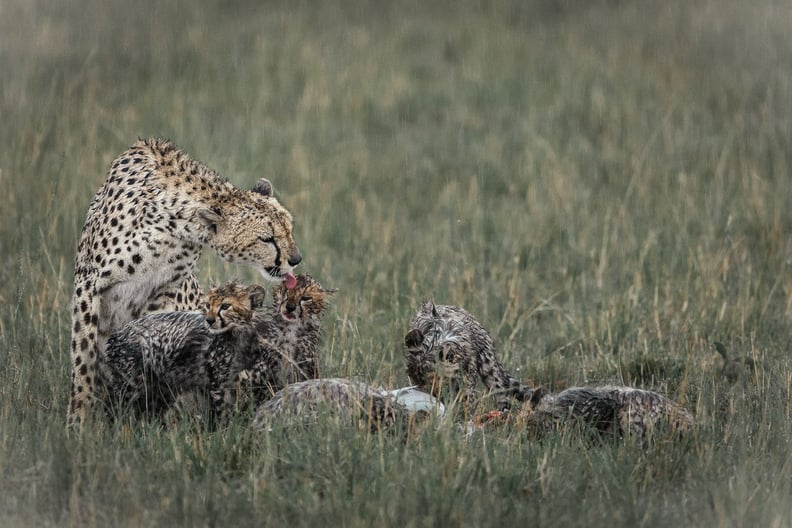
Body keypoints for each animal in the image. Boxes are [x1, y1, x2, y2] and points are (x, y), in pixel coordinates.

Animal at [68, 137, 302, 428]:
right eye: (266, 238)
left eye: (289, 228)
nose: (296, 259)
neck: (169, 223)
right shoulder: (88, 286)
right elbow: (83, 360)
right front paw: (77, 424)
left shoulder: (163, 295)